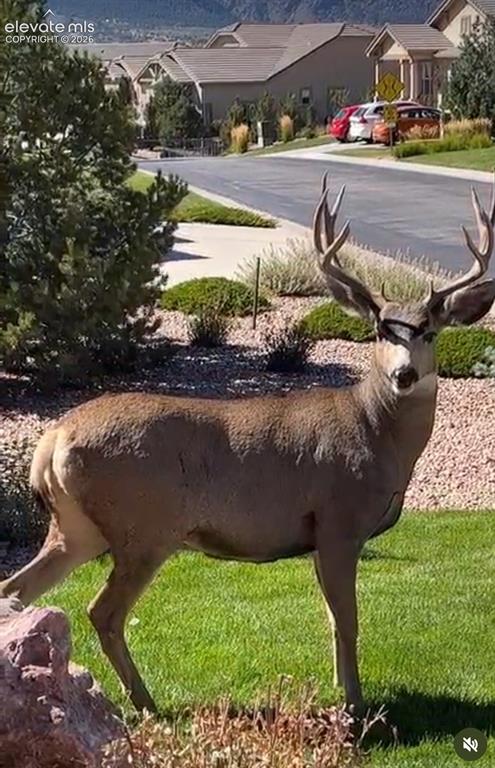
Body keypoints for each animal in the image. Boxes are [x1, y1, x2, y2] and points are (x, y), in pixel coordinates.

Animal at [1, 175, 494, 716]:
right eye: (380, 331)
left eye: (430, 331)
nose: (403, 375)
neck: (376, 433)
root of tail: (51, 440)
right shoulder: (339, 519)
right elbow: (348, 620)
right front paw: (356, 706)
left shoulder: (318, 536)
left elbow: (330, 619)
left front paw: (341, 690)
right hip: (142, 527)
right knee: (102, 611)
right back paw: (146, 703)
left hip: (76, 526)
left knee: (15, 588)